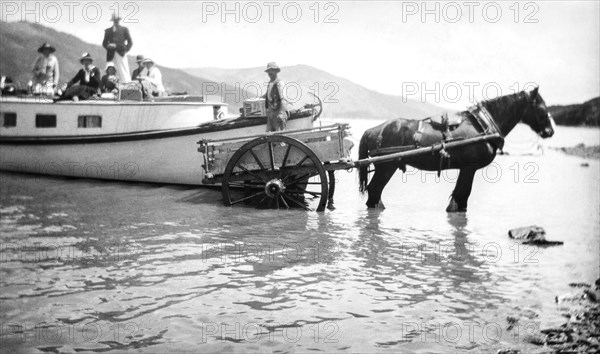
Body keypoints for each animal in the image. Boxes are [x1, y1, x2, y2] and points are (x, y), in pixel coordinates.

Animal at [358, 87, 556, 212]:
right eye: (541, 108)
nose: (550, 131)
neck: (483, 126)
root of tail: (373, 130)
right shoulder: (470, 168)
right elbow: (461, 197)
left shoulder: (467, 169)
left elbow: (461, 198)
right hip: (386, 167)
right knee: (374, 191)